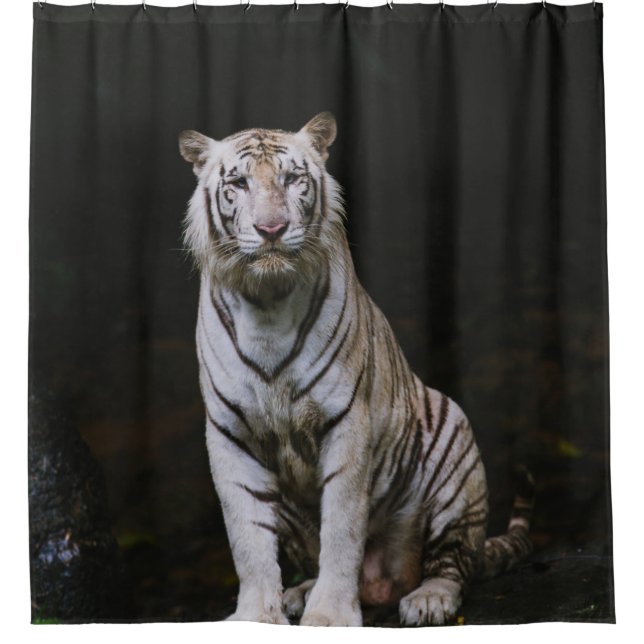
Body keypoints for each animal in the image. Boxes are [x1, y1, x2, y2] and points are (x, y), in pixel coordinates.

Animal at [178, 112, 534, 627]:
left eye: (292, 179)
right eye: (239, 184)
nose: (271, 229)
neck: (266, 303)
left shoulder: (345, 423)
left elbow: (342, 528)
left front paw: (329, 616)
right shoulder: (230, 434)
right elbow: (246, 538)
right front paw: (257, 617)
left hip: (455, 443)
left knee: (454, 563)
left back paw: (429, 598)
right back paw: (299, 592)